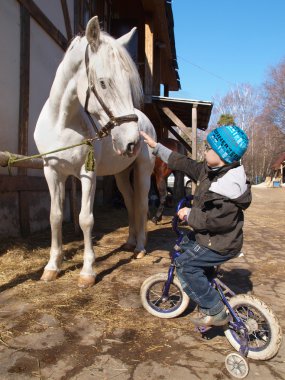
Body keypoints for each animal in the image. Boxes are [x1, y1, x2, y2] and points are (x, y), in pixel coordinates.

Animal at [35, 16, 158, 286]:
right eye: (103, 83)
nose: (132, 142)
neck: (61, 123)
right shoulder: (52, 172)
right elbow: (55, 217)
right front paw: (52, 267)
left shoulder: (87, 174)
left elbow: (85, 219)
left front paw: (88, 272)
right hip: (121, 174)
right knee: (130, 201)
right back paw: (130, 242)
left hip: (143, 171)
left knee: (142, 203)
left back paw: (140, 247)